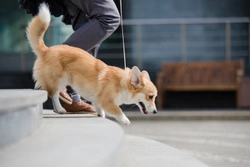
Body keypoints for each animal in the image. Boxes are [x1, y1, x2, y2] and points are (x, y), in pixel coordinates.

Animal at [25, 3, 158, 124]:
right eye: (150, 97)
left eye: (154, 97)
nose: (156, 112)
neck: (122, 83)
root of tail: (46, 50)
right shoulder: (107, 101)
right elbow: (118, 110)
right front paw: (125, 120)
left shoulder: (97, 101)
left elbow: (100, 109)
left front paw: (101, 115)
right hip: (58, 80)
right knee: (54, 95)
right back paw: (60, 109)